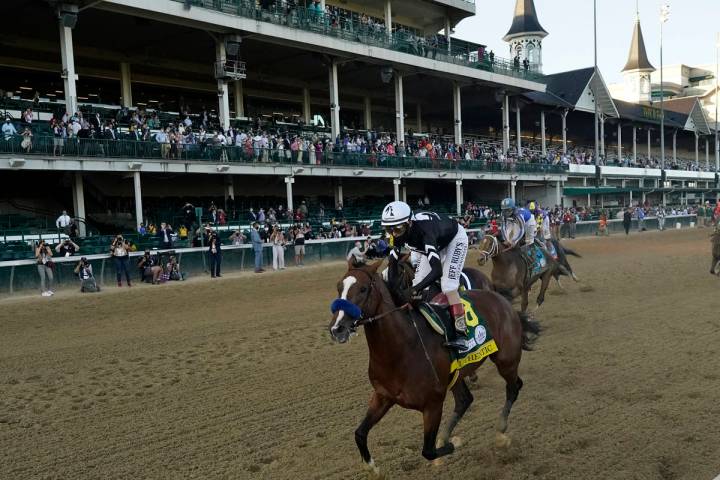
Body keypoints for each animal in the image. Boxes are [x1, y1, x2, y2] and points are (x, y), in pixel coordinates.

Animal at [330, 258, 536, 476]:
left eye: (362, 289)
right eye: (339, 287)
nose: (337, 329)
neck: (403, 348)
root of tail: (502, 300)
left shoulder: (433, 404)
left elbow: (428, 451)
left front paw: (452, 444)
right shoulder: (383, 396)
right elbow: (359, 433)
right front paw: (372, 467)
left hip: (506, 360)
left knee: (513, 387)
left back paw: (500, 431)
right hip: (457, 374)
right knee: (465, 400)